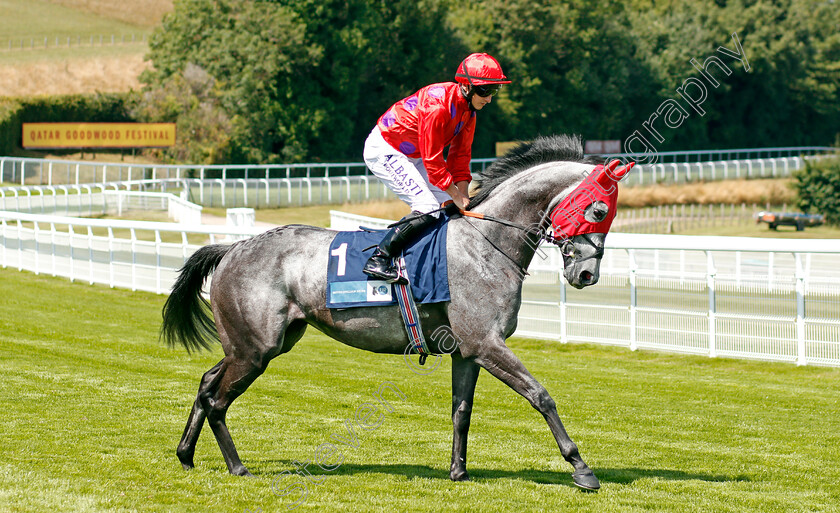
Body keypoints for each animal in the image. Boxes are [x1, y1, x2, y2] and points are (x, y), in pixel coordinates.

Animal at [159, 134, 632, 490]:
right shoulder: (487, 343)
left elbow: (462, 411)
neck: (486, 245)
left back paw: (185, 454)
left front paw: (458, 472)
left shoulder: (468, 351)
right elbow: (541, 395)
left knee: (206, 382)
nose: (587, 274)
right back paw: (237, 466)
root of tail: (232, 248)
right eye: (599, 209)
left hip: (256, 344)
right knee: (217, 400)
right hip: (255, 349)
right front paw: (582, 468)